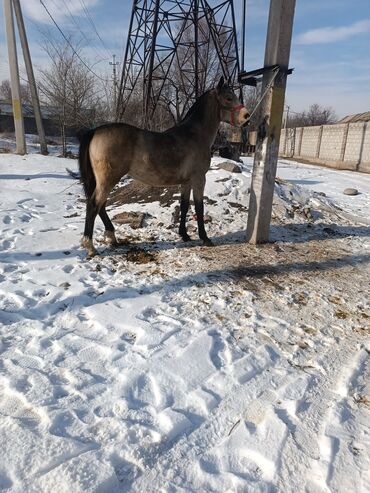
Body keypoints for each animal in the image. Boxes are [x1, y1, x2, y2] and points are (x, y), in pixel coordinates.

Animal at [79, 79, 250, 256]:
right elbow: (199, 207)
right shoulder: (198, 179)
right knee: (94, 205)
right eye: (229, 98)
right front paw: (205, 238)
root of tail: (95, 131)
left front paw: (184, 235)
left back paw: (112, 237)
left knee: (101, 206)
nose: (247, 117)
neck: (195, 135)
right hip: (108, 180)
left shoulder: (186, 182)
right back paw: (90, 246)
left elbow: (184, 205)